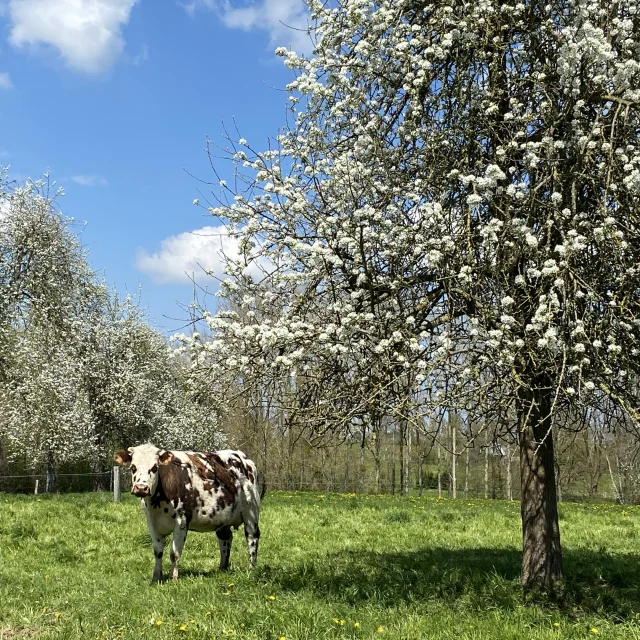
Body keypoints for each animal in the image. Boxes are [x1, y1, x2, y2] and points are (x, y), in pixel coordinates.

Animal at [114, 442, 262, 584]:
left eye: (155, 467)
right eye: (133, 467)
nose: (141, 488)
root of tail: (242, 457)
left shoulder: (182, 520)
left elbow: (174, 553)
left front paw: (173, 578)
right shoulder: (151, 521)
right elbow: (157, 551)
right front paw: (156, 578)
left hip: (251, 512)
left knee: (252, 537)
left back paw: (251, 569)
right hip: (222, 517)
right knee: (225, 538)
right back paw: (222, 568)